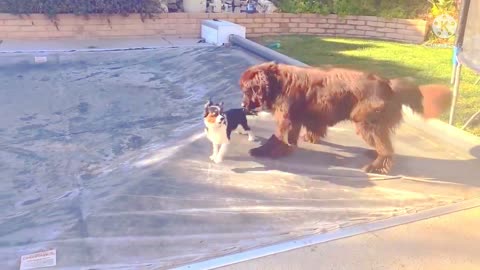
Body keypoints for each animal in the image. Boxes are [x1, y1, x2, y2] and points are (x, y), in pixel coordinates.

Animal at [240, 62, 454, 174]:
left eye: (247, 90)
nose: (242, 105)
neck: (277, 82)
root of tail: (389, 85)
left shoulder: (285, 118)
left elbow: (277, 137)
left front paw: (264, 151)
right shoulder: (298, 117)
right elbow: (296, 135)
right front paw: (296, 144)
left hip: (366, 122)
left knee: (386, 148)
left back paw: (376, 166)